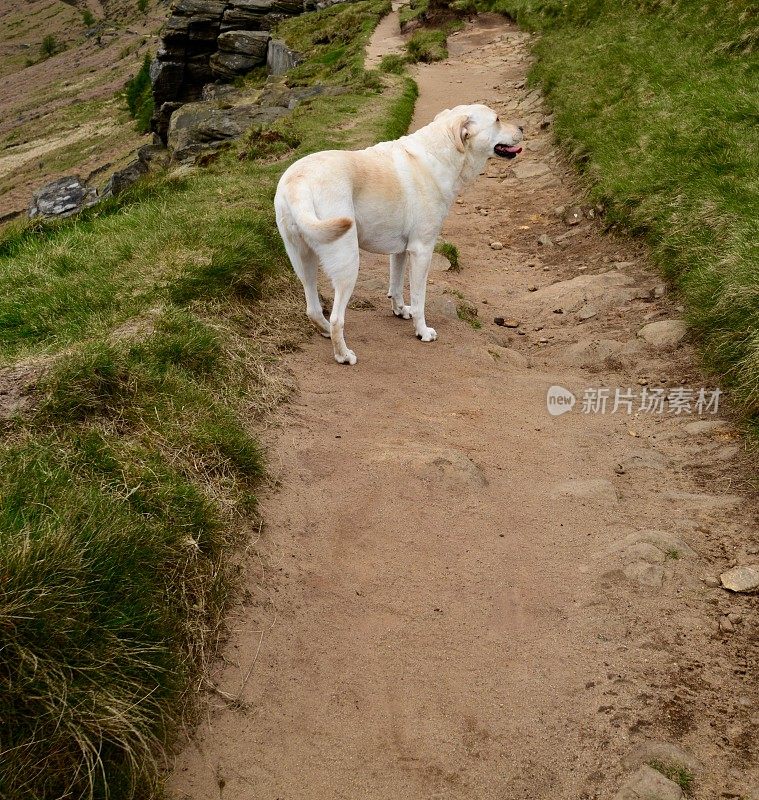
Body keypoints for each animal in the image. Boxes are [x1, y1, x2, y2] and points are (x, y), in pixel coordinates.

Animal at [276, 105, 524, 366]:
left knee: (313, 309)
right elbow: (419, 299)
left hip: (303, 261)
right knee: (336, 319)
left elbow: (395, 286)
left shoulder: (400, 251)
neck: (441, 153)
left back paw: (323, 330)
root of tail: (298, 183)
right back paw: (343, 355)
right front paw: (422, 331)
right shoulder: (422, 250)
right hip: (348, 263)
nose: (522, 128)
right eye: (497, 120)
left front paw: (400, 310)